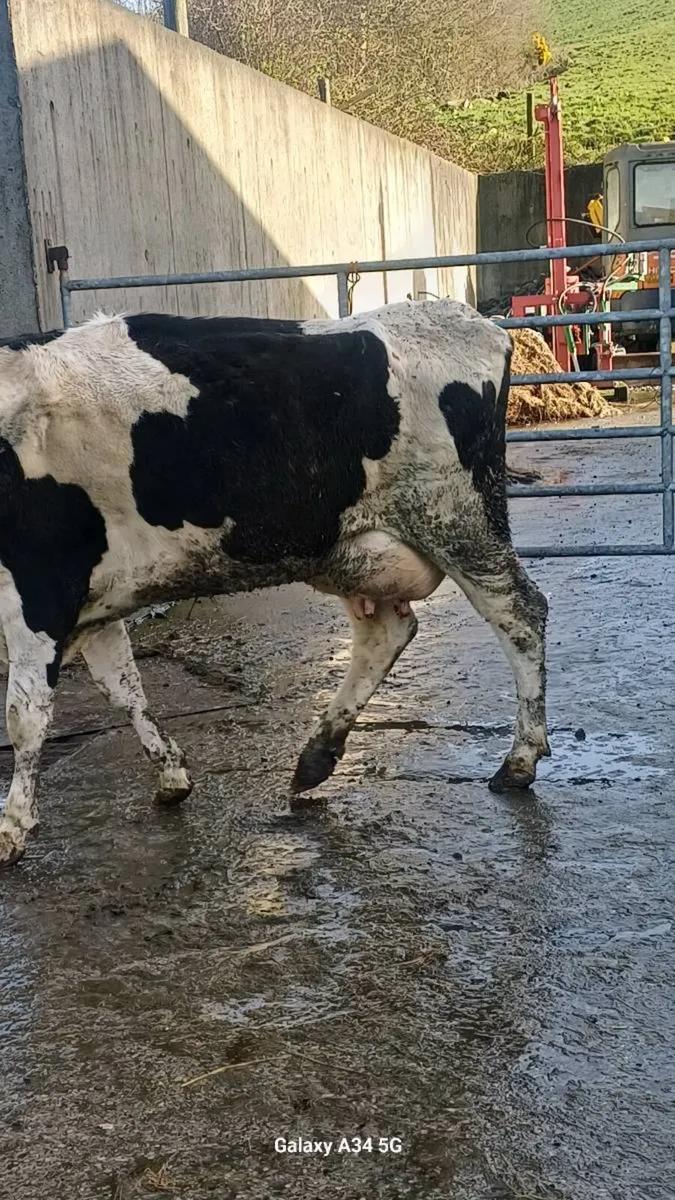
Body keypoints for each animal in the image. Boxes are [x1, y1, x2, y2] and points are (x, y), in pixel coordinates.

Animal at [0, 300, 550, 867]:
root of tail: (466, 317)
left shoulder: (39, 589)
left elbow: (26, 715)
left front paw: (11, 828)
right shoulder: (93, 600)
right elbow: (123, 688)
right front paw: (172, 775)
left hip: (459, 521)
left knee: (521, 614)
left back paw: (519, 760)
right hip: (350, 550)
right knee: (387, 633)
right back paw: (317, 756)